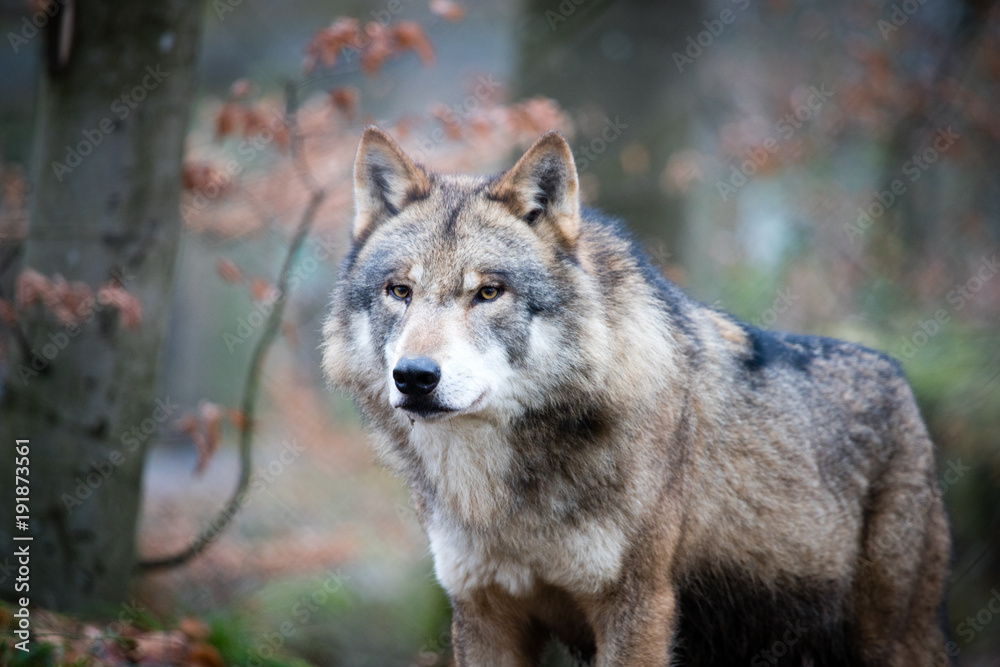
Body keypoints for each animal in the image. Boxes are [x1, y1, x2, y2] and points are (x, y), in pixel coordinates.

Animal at [321, 127, 951, 666]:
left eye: (489, 292)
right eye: (400, 291)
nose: (414, 376)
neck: (503, 496)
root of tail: (901, 381)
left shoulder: (638, 607)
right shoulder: (483, 613)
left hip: (889, 638)